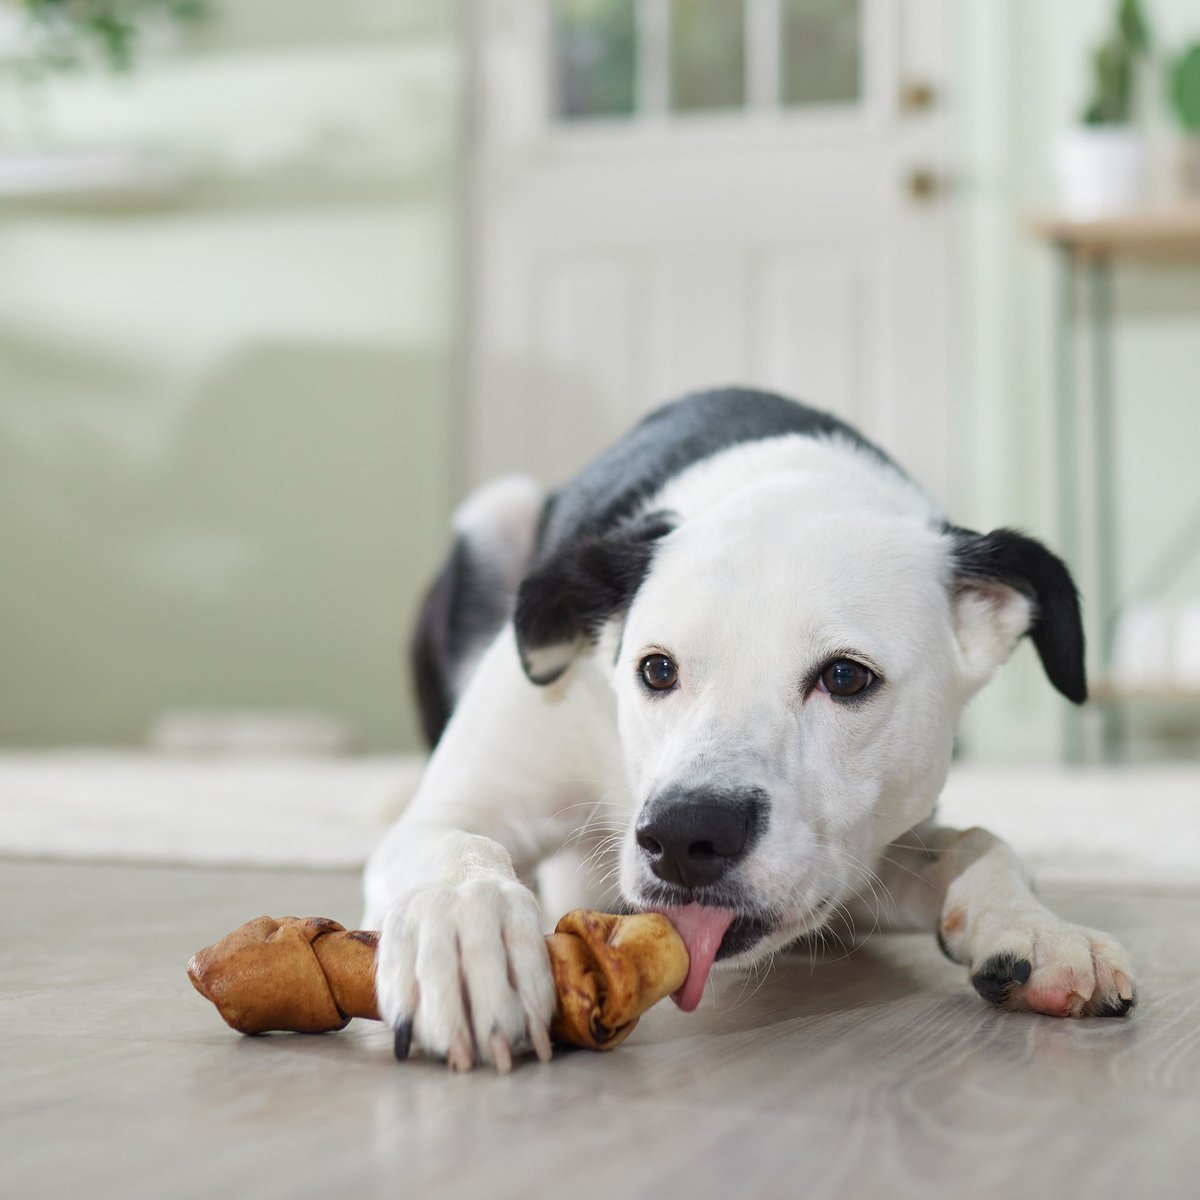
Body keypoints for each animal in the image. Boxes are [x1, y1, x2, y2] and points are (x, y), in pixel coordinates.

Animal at [364, 388, 1132, 1075]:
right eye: (656, 669)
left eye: (846, 677)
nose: (684, 836)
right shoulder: (463, 802)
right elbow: (456, 844)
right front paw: (469, 933)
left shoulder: (851, 871)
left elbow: (979, 842)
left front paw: (1035, 926)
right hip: (493, 514)